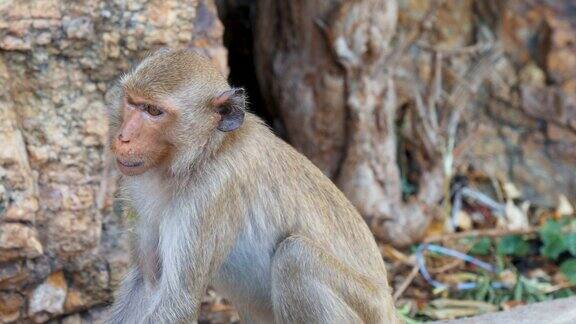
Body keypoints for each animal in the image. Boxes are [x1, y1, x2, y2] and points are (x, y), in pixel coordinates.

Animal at [106, 48, 398, 324]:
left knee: (295, 258)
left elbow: (178, 302)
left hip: (365, 306)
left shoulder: (212, 192)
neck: (202, 154)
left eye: (154, 111)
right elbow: (148, 283)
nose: (123, 137)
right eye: (131, 102)